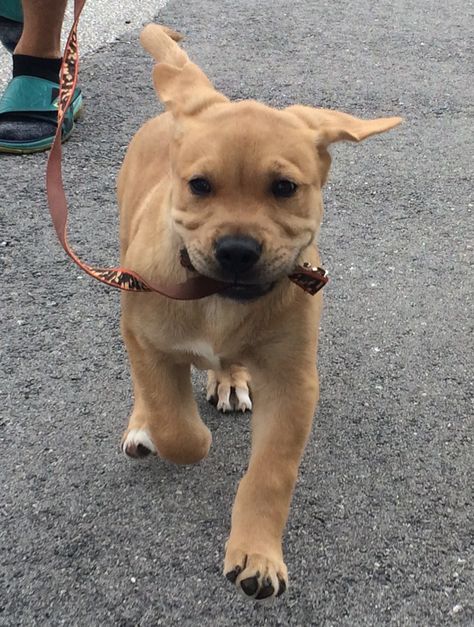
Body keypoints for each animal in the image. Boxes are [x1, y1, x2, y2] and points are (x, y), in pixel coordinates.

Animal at [117, 25, 400, 604]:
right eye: (199, 185)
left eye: (284, 188)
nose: (237, 251)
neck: (219, 302)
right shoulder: (144, 333)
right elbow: (176, 424)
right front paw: (172, 431)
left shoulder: (293, 383)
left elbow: (271, 473)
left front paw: (257, 554)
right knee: (146, 383)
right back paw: (143, 424)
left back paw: (228, 378)